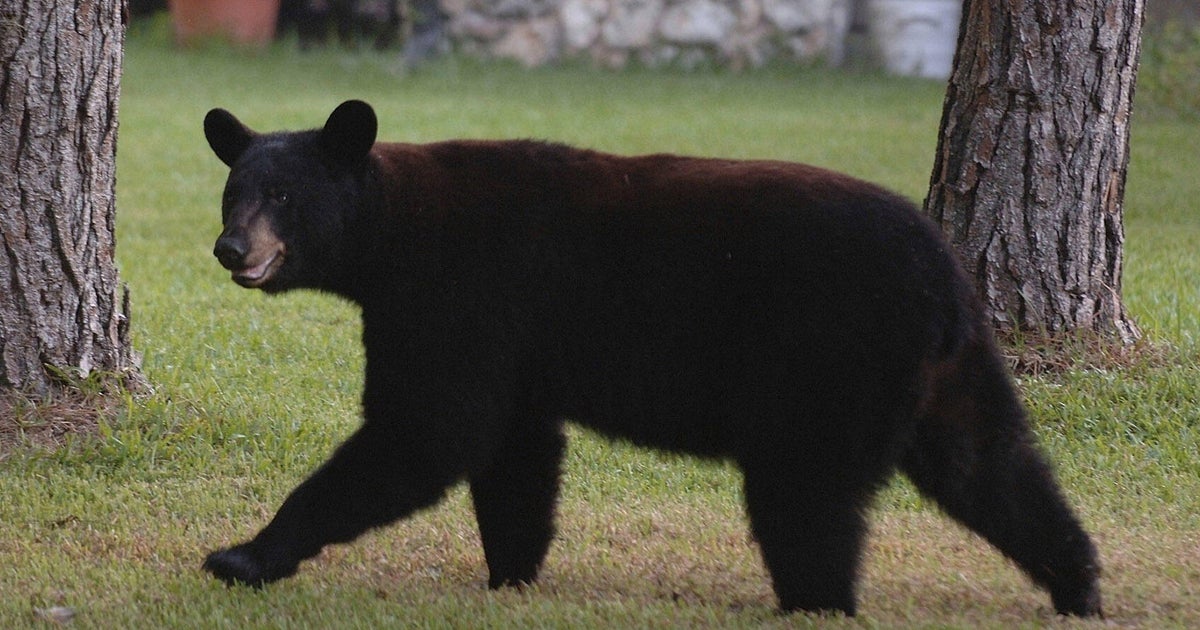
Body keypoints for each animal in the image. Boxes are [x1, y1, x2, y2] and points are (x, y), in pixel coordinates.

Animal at [200, 100, 1101, 617]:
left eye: (282, 195)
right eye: (232, 191)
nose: (230, 248)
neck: (390, 233)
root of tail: (943, 278)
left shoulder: (460, 297)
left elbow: (427, 431)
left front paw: (244, 555)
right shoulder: (514, 340)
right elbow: (516, 453)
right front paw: (511, 575)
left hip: (830, 361)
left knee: (805, 498)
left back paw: (814, 603)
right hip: (951, 371)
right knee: (992, 465)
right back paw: (1079, 584)